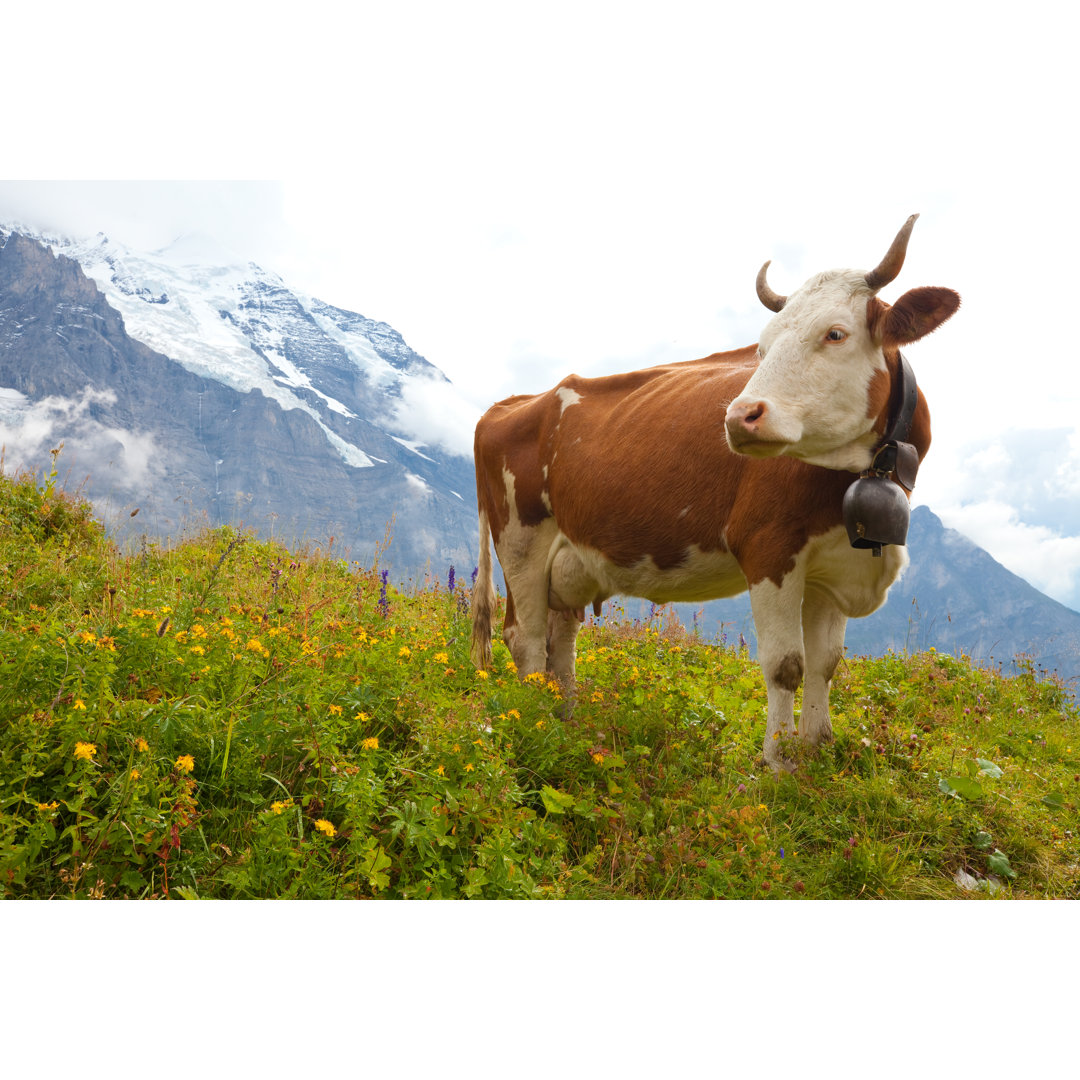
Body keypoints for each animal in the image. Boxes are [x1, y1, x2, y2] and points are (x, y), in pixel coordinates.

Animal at [468, 212, 959, 768]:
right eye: (761, 348)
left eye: (835, 333)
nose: (739, 416)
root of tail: (516, 401)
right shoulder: (769, 549)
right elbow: (785, 664)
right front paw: (778, 764)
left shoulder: (833, 563)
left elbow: (825, 663)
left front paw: (818, 752)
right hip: (520, 542)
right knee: (525, 637)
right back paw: (532, 722)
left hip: (569, 557)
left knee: (561, 636)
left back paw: (565, 721)